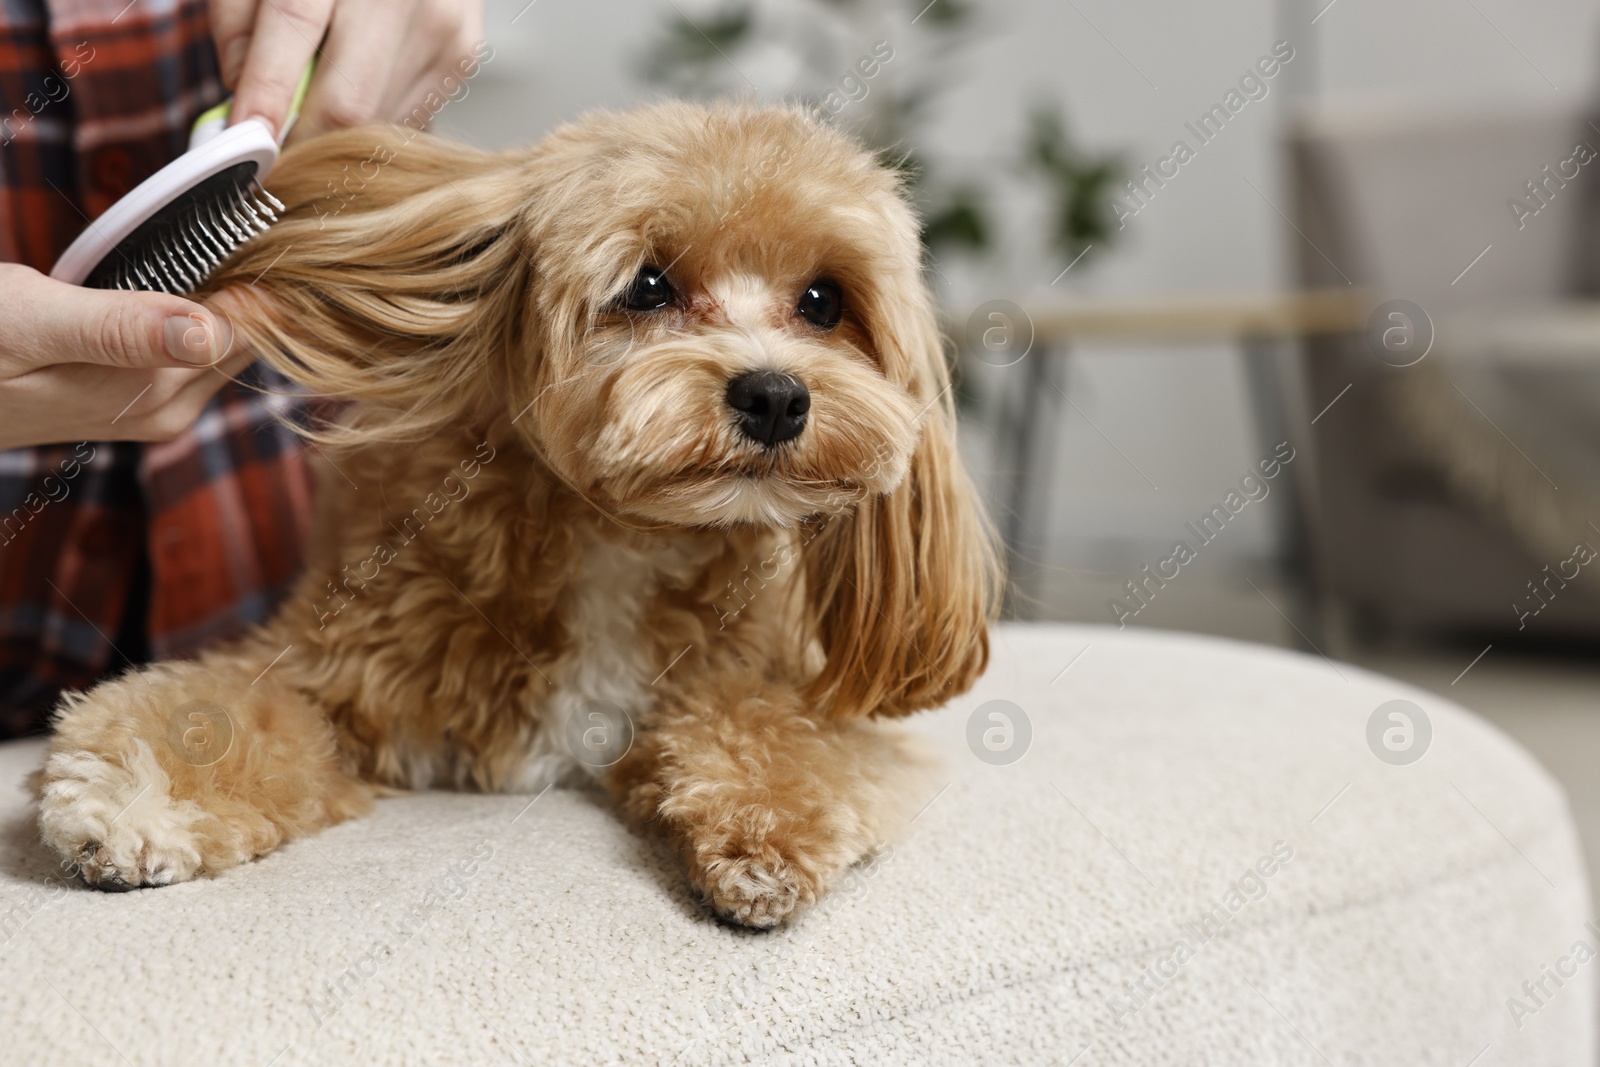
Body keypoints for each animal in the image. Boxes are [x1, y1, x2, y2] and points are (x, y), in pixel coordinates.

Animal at [34, 103, 998, 927]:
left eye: (824, 301)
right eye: (648, 285)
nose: (774, 396)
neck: (618, 540)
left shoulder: (778, 687)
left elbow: (775, 727)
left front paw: (766, 837)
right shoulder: (332, 669)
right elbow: (227, 712)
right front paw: (137, 798)